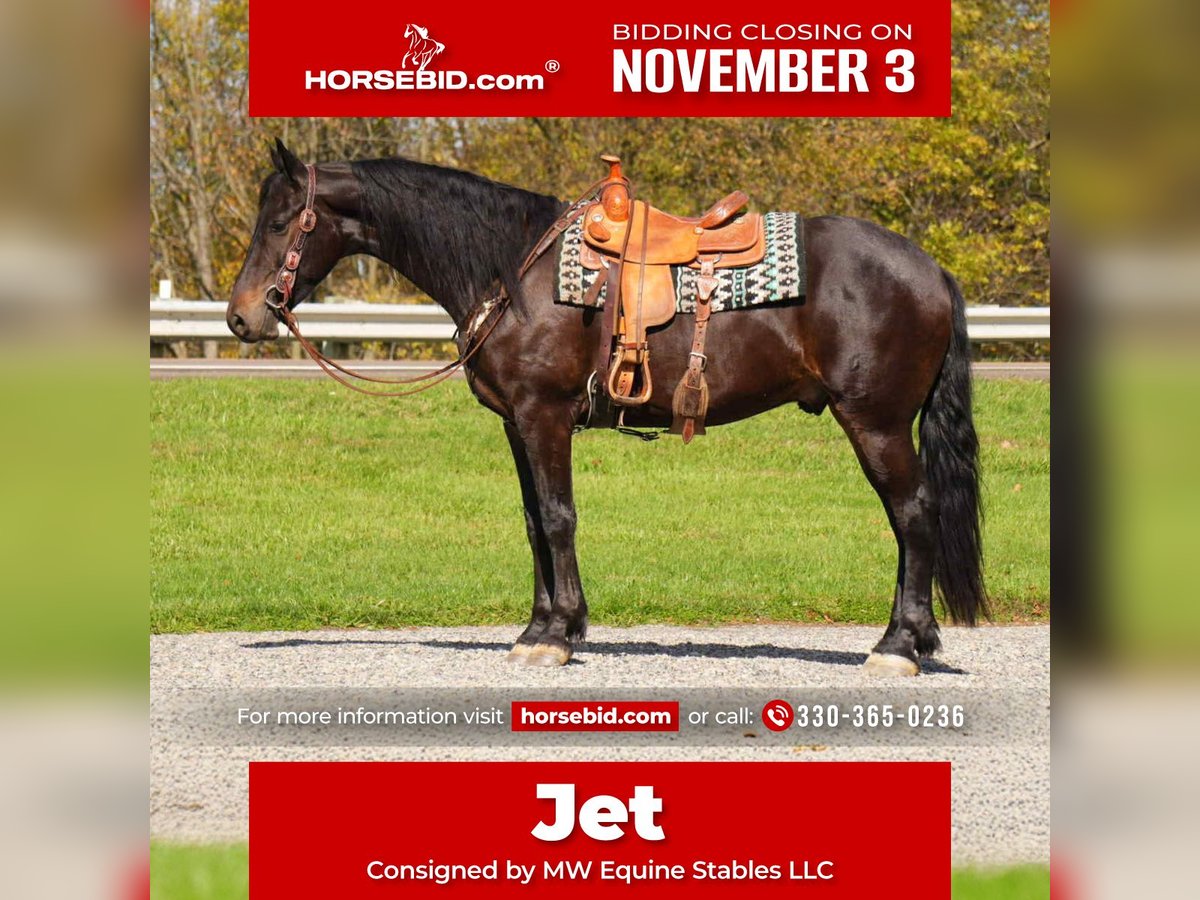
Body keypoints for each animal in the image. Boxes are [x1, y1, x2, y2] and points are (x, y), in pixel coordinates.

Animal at [227, 139, 986, 675]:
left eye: (282, 221)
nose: (241, 317)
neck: (515, 270)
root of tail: (931, 269)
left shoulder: (544, 416)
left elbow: (559, 518)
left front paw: (556, 636)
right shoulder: (517, 425)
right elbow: (534, 522)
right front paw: (540, 628)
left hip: (875, 422)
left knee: (913, 515)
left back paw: (897, 645)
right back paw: (917, 638)